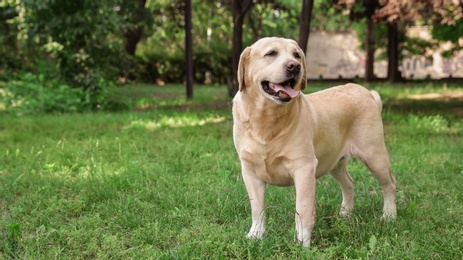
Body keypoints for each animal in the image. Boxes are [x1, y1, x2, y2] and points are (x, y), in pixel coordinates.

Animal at [234, 36, 396, 246]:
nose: (294, 66)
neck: (266, 121)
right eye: (271, 53)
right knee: (349, 182)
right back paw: (345, 213)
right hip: (334, 161)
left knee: (390, 184)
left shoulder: (304, 168)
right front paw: (255, 235)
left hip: (374, 155)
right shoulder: (250, 171)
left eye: (296, 55)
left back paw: (389, 215)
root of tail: (368, 93)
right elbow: (257, 208)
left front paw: (302, 243)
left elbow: (303, 209)